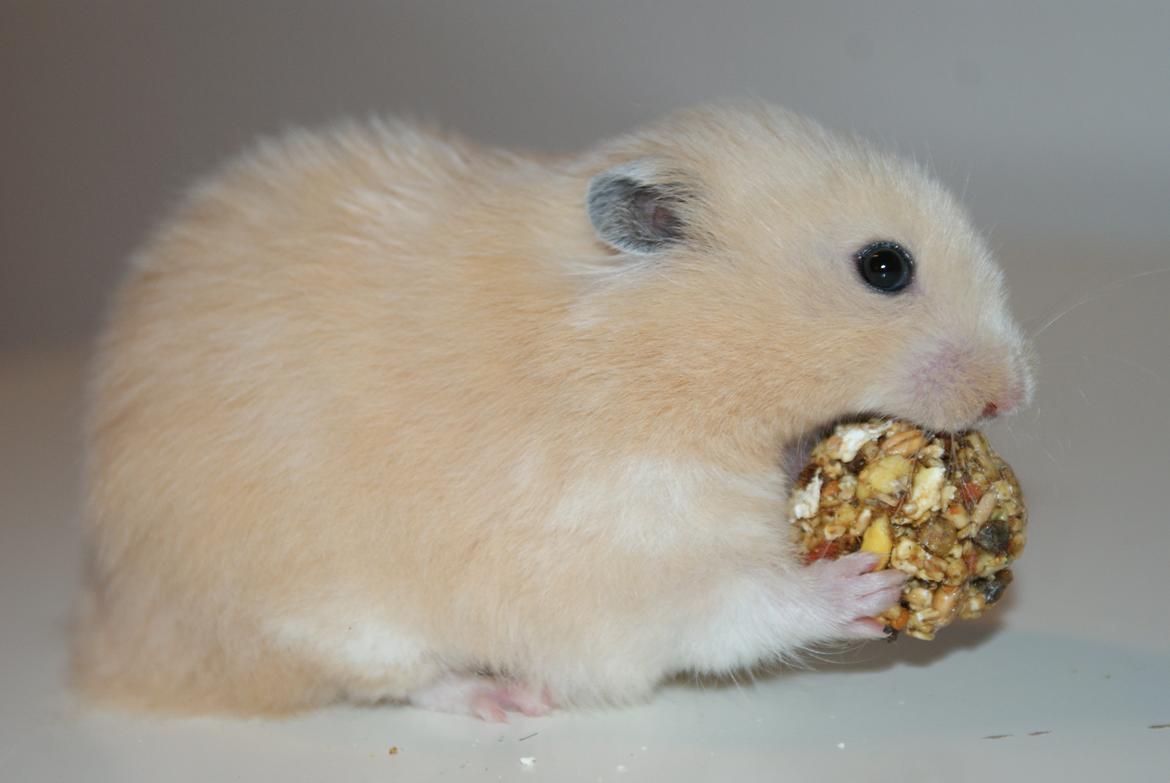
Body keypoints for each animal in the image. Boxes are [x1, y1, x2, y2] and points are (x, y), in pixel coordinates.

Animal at [72, 102, 1033, 720]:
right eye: (884, 266)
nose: (1018, 390)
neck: (657, 369)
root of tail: (119, 626)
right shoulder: (626, 553)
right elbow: (740, 603)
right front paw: (865, 584)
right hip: (326, 617)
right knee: (398, 679)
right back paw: (504, 699)